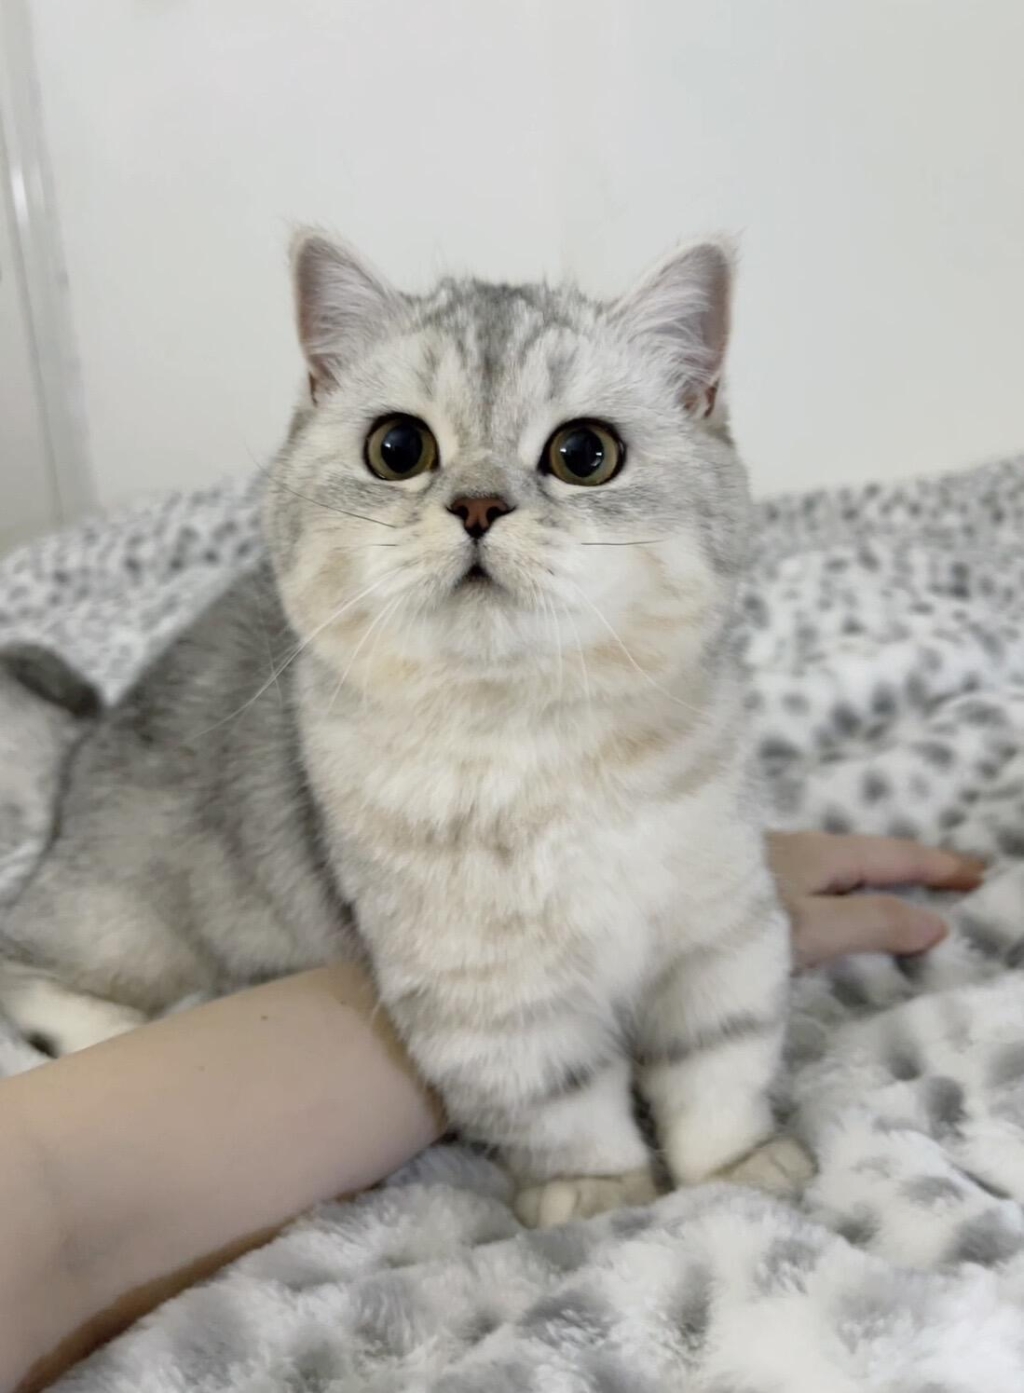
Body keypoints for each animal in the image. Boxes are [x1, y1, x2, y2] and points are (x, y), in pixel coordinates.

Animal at [0, 231, 800, 1224]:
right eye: (398, 448)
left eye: (585, 453)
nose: (478, 505)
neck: (531, 741)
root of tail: (82, 749)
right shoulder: (492, 1003)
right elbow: (567, 1102)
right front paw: (602, 1195)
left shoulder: (717, 932)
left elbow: (716, 1064)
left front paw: (735, 1173)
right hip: (124, 918)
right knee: (27, 965)